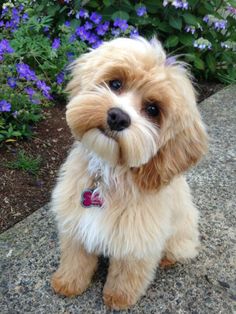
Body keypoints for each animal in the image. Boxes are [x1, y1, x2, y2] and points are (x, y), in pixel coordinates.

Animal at [50, 36, 207, 310]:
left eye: (153, 109)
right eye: (115, 83)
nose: (117, 117)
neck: (109, 173)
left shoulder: (137, 240)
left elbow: (128, 272)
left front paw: (119, 297)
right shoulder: (75, 220)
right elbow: (75, 257)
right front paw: (68, 282)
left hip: (181, 233)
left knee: (181, 249)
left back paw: (168, 259)